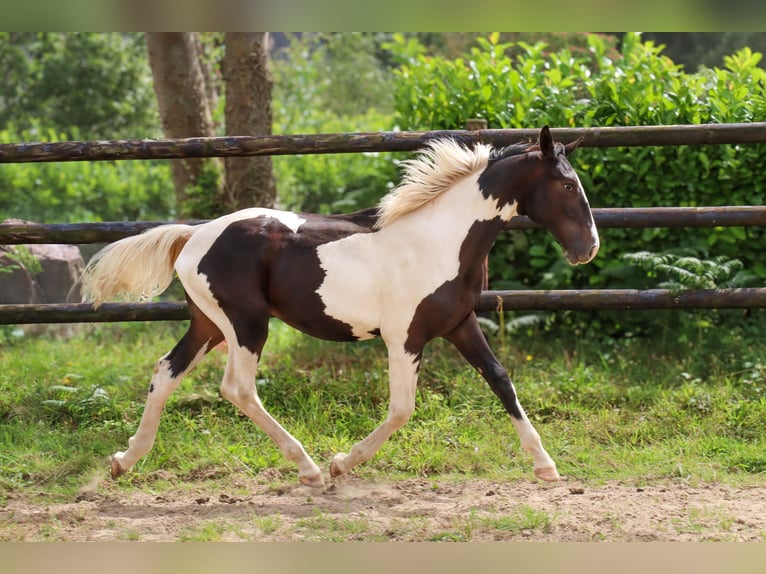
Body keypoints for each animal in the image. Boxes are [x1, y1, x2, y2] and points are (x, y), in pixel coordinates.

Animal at [82, 127, 600, 490]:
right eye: (567, 186)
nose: (589, 248)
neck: (439, 240)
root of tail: (194, 235)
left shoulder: (460, 325)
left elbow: (500, 380)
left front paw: (547, 466)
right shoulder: (404, 338)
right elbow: (402, 408)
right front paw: (340, 464)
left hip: (208, 324)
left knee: (166, 370)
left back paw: (123, 461)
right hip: (245, 324)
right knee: (238, 388)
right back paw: (309, 468)